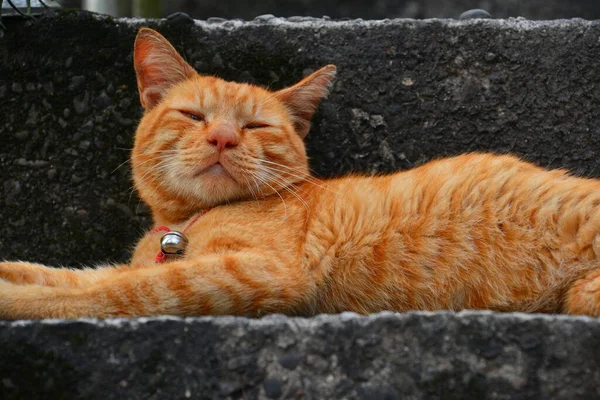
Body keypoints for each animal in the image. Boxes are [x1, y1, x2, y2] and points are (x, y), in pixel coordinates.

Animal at [1, 27, 600, 318]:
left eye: (257, 125)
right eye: (194, 115)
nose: (223, 137)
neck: (181, 225)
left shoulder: (259, 272)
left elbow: (115, 292)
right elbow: (74, 274)